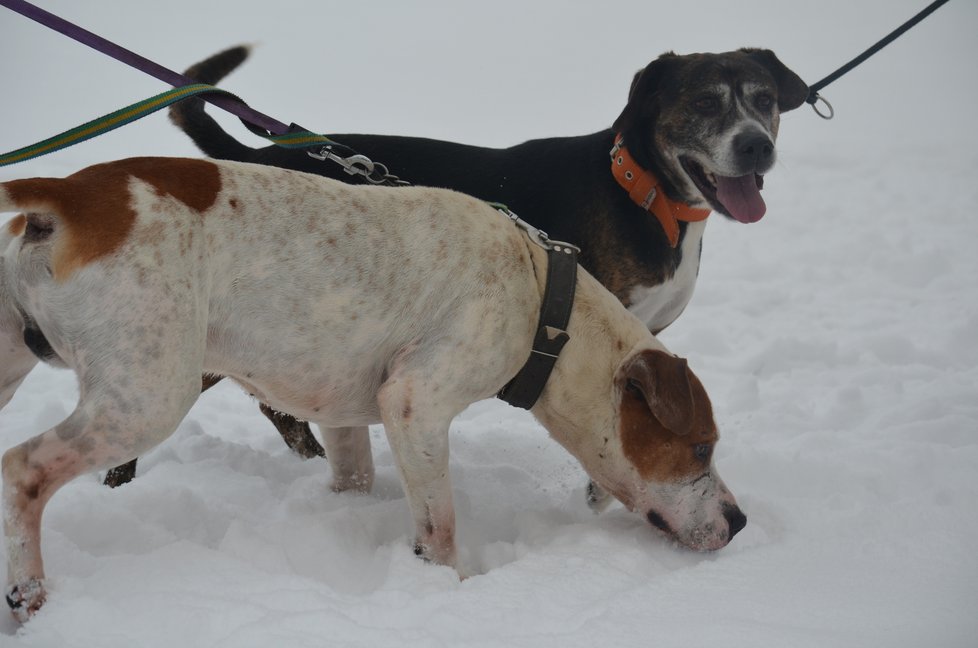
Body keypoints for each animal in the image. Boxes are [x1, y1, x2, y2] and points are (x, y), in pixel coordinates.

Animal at [0, 157, 744, 616]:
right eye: (702, 448)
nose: (738, 522)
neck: (545, 302)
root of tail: (70, 194)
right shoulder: (415, 404)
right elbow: (440, 526)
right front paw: (452, 590)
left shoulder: (343, 416)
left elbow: (354, 479)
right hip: (146, 398)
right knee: (22, 471)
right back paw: (28, 594)